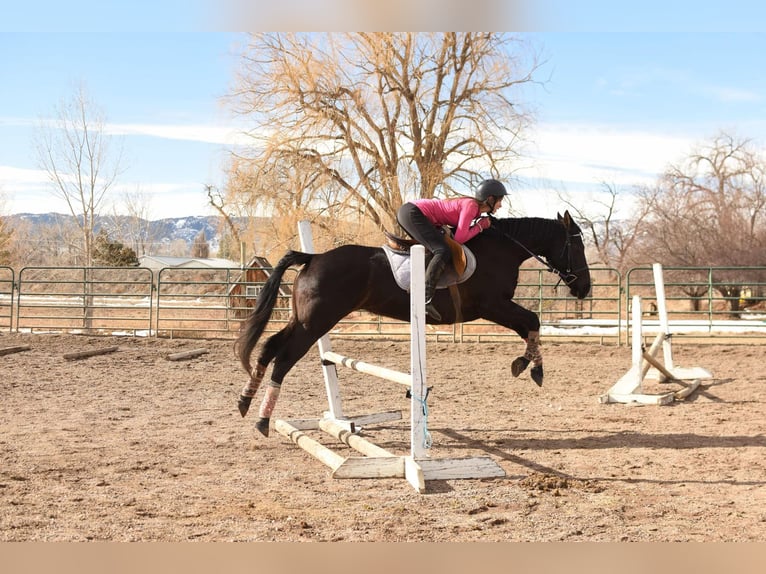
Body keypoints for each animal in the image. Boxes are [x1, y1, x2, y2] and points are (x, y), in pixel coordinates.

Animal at [236, 210, 592, 436]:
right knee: (283, 359)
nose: (585, 288)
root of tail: (313, 257)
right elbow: (532, 320)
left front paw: (525, 364)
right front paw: (533, 368)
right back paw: (262, 421)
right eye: (577, 245)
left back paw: (244, 402)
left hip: (304, 319)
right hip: (316, 323)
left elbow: (529, 327)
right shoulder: (492, 306)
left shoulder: (498, 308)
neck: (502, 250)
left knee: (268, 348)